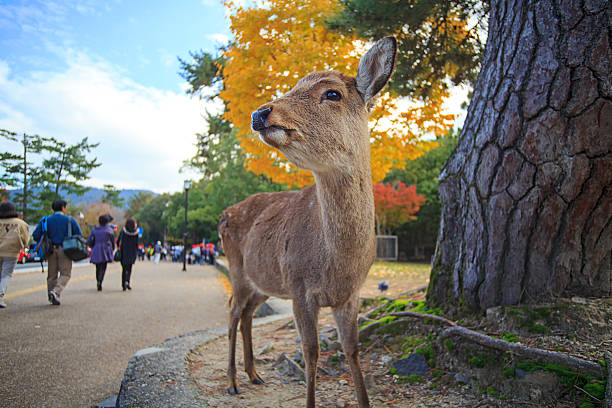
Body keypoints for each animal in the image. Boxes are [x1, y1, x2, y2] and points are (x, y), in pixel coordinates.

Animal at [218, 36, 400, 406]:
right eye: (293, 86)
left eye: (332, 93)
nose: (260, 113)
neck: (336, 264)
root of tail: (223, 216)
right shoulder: (300, 286)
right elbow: (311, 352)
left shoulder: (351, 294)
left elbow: (353, 349)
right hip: (238, 269)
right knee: (232, 312)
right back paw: (231, 382)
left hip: (265, 281)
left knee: (247, 315)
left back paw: (254, 374)